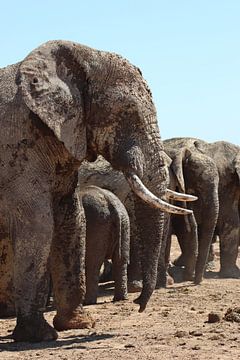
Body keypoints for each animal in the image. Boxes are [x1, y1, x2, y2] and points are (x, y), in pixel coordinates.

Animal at [0, 40, 192, 342]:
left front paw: (78, 324)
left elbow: (71, 220)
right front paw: (37, 335)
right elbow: (38, 225)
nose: (138, 305)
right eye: (127, 111)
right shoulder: (19, 144)